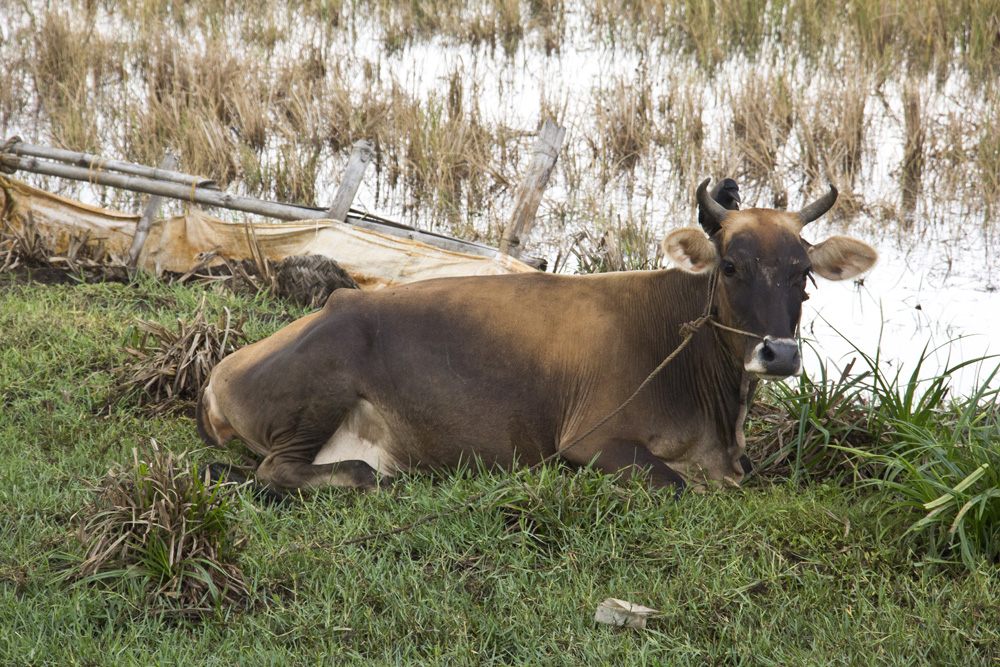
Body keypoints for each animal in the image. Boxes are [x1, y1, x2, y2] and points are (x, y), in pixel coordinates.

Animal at [195, 179, 876, 496]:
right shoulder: (591, 442)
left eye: (804, 271)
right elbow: (675, 484)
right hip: (324, 382)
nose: (779, 353)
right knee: (291, 472)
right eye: (730, 265)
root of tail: (218, 373)